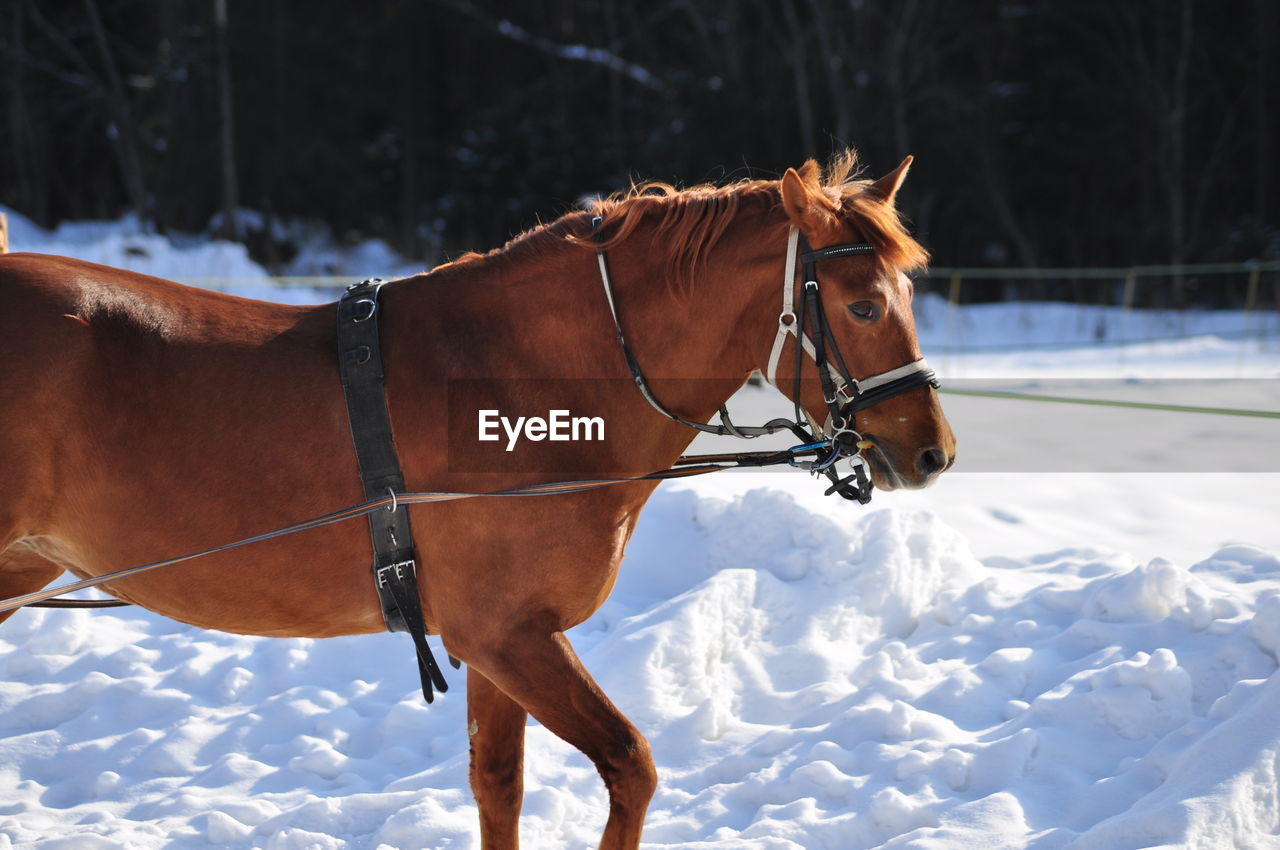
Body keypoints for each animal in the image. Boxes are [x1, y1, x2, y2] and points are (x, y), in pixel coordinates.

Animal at [0, 154, 952, 850]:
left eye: (907, 297)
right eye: (863, 305)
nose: (934, 451)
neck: (516, 375)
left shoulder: (500, 649)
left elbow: (499, 788)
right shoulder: (508, 636)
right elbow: (632, 766)